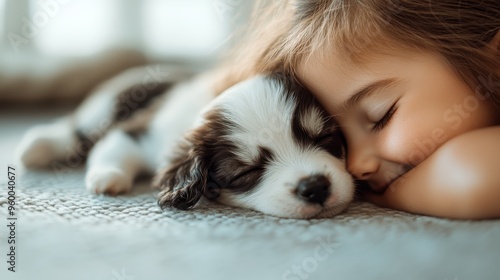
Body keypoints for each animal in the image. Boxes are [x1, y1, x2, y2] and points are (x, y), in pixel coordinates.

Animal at [16, 66, 356, 219]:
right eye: (245, 173)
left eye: (326, 138)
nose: (315, 187)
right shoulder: (141, 131)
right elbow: (114, 145)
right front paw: (107, 178)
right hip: (104, 106)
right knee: (76, 128)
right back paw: (37, 145)